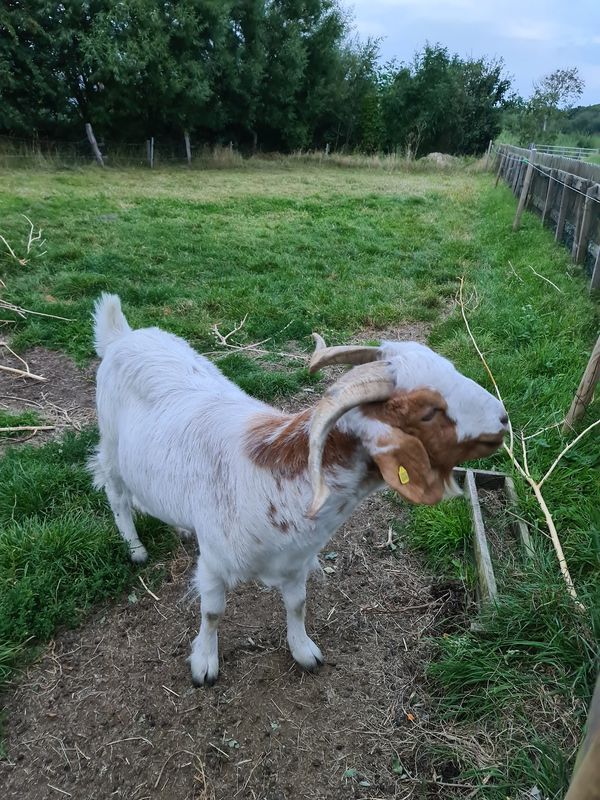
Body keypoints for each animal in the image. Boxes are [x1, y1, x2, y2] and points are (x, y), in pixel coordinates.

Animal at [91, 296, 508, 684]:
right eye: (427, 412)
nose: (503, 418)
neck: (276, 480)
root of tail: (123, 335)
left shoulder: (296, 561)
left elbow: (297, 605)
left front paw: (304, 651)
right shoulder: (213, 562)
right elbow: (212, 613)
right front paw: (205, 663)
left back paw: (179, 526)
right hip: (110, 446)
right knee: (117, 494)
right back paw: (135, 548)